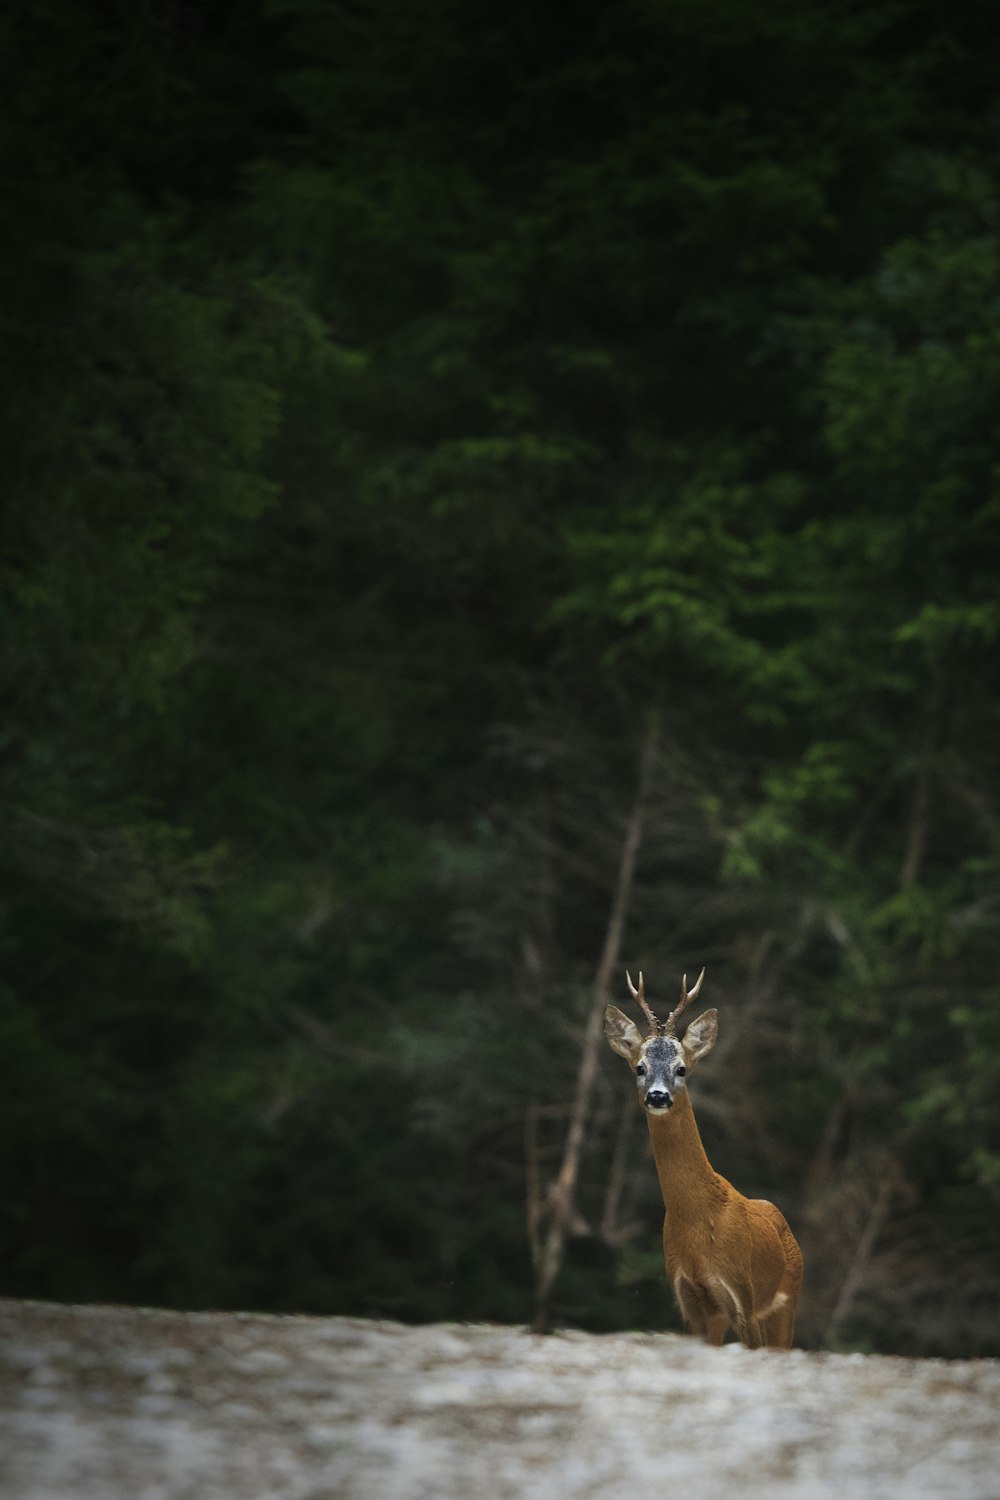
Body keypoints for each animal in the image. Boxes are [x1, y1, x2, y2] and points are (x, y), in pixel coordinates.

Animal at [602, 966, 803, 1356]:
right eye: (639, 1068)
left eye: (681, 1069)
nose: (658, 1096)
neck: (697, 1218)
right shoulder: (691, 1300)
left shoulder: (741, 1294)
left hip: (787, 1300)